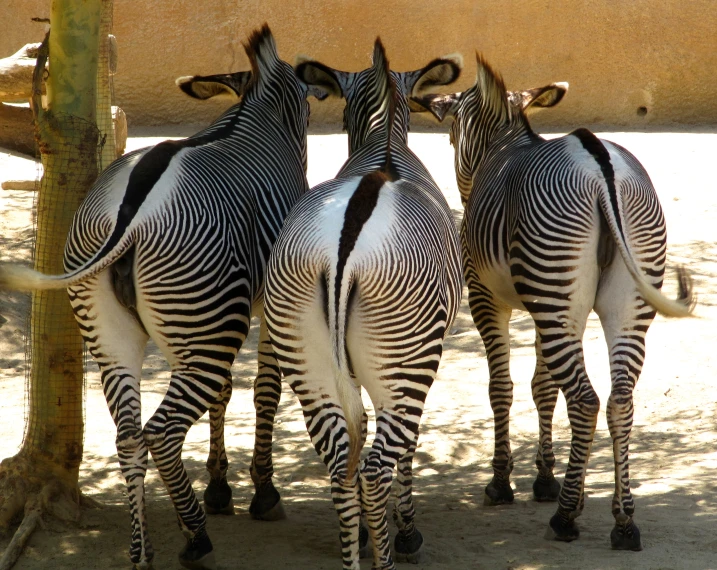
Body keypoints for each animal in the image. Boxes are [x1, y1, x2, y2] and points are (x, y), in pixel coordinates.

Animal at [0, 25, 328, 568]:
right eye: (305, 107)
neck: (258, 112)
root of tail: (128, 214)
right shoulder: (269, 300)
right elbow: (264, 390)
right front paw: (259, 493)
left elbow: (226, 394)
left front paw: (216, 489)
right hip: (208, 328)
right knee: (161, 431)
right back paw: (196, 540)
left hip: (124, 333)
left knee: (130, 435)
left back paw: (143, 548)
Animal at [266, 37, 462, 564]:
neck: (384, 146)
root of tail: (342, 251)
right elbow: (408, 453)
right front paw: (404, 532)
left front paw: (359, 537)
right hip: (405, 363)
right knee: (375, 468)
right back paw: (389, 554)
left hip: (306, 361)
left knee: (340, 462)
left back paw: (354, 551)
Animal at [412, 54, 696, 552]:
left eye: (449, 134)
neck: (502, 148)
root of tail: (601, 168)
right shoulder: (552, 308)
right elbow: (544, 387)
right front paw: (550, 479)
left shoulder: (488, 298)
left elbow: (502, 388)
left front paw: (505, 483)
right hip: (617, 300)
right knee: (619, 400)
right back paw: (623, 520)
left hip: (556, 290)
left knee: (585, 399)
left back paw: (565, 518)